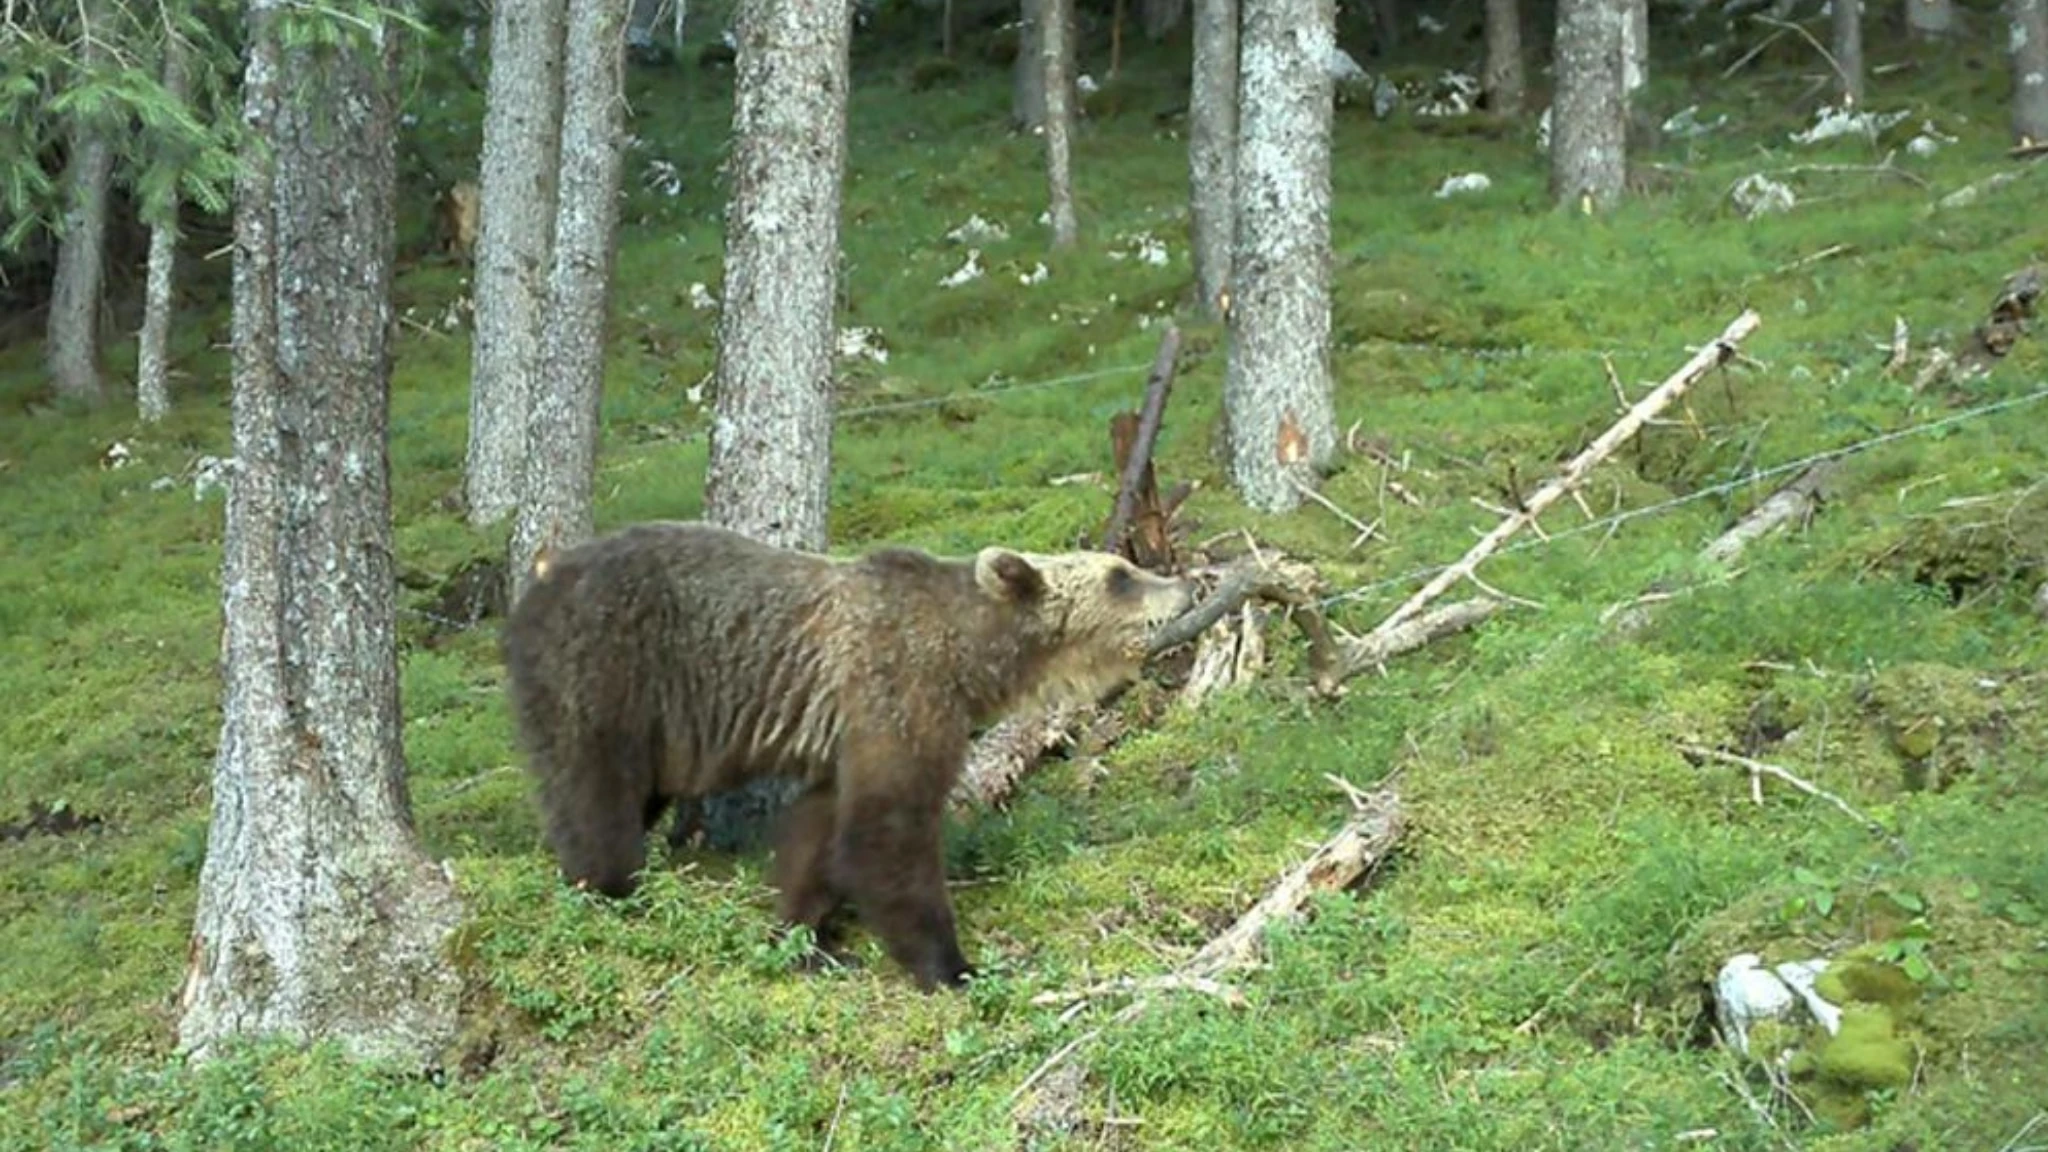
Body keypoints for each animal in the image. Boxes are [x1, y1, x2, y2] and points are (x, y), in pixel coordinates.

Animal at [499, 520, 1199, 990]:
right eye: (1120, 575)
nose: (1185, 584)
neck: (971, 661)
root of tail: (537, 584)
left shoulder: (847, 740)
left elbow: (821, 833)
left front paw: (805, 937)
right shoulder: (898, 695)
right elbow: (887, 837)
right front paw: (952, 965)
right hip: (607, 671)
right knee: (595, 792)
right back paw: (610, 885)